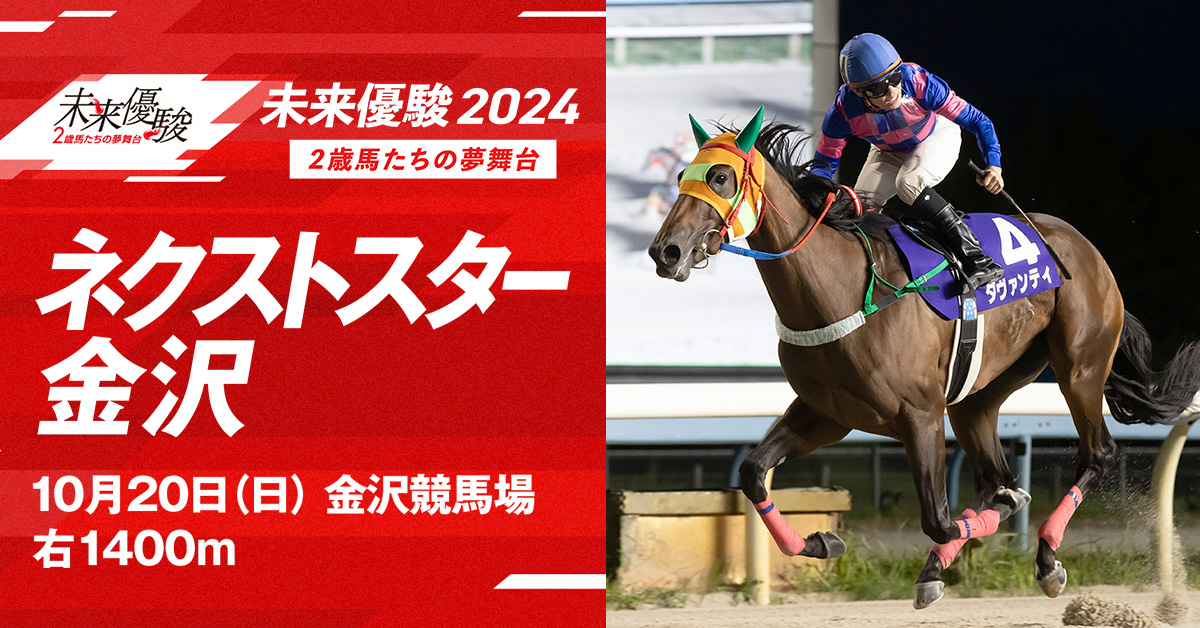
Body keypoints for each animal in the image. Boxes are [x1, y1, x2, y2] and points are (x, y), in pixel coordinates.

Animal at [647, 107, 1200, 608]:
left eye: (720, 177)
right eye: (680, 176)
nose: (665, 252)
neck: (839, 289)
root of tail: (1086, 248)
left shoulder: (920, 414)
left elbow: (938, 519)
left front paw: (991, 523)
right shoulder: (828, 413)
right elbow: (752, 471)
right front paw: (822, 541)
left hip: (1078, 367)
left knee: (1095, 453)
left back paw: (1045, 558)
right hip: (981, 392)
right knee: (993, 472)